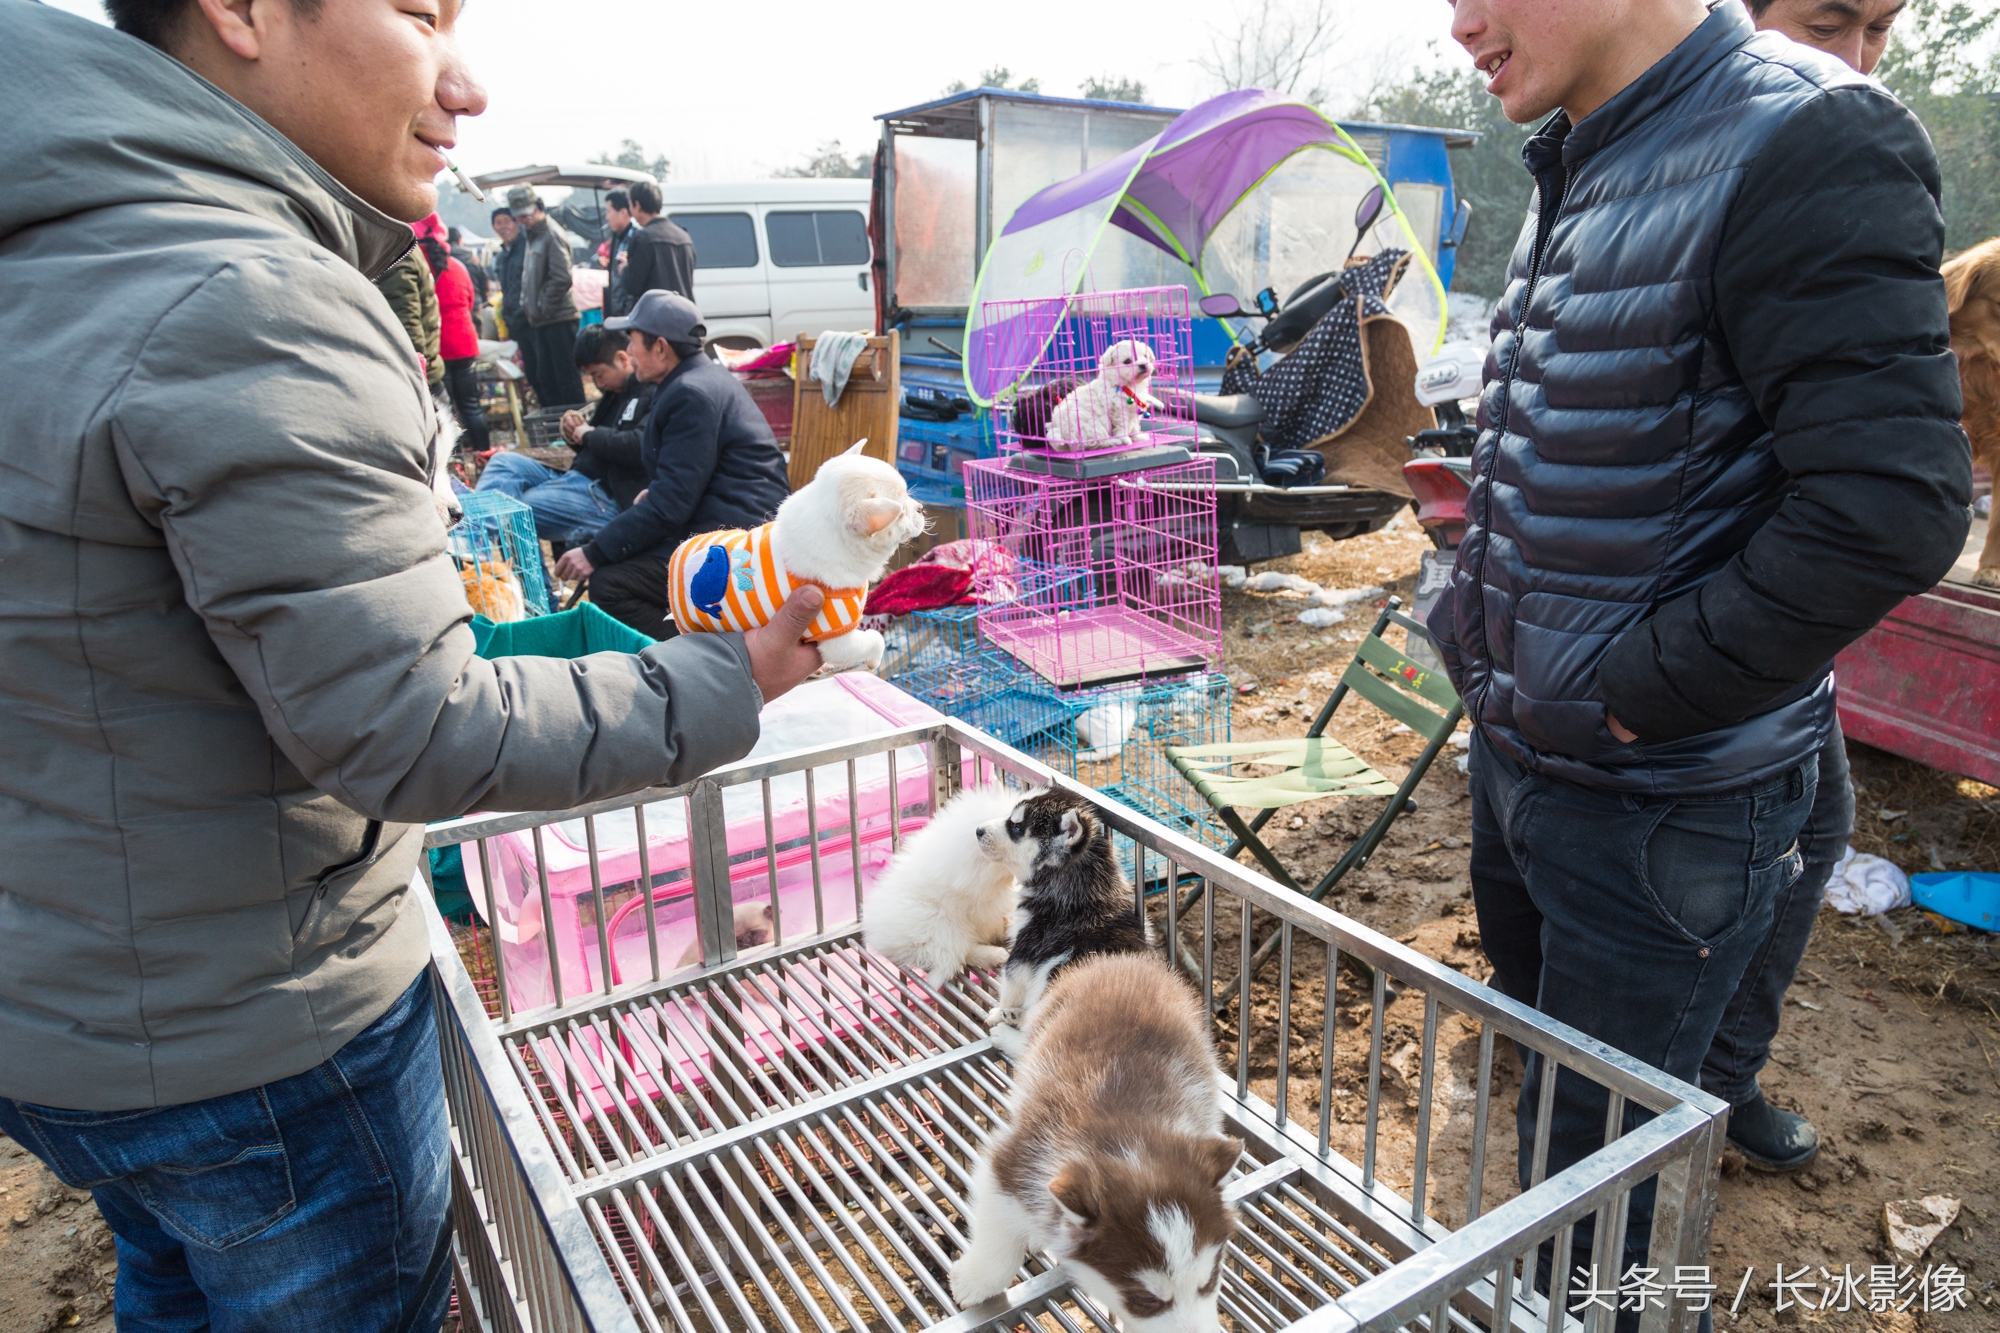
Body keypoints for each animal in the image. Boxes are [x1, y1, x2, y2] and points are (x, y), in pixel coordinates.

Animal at [948, 948, 1240, 1320]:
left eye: (1210, 1279)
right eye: (1146, 1299)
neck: (1133, 1143)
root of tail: (1122, 959)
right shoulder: (1017, 1159)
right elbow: (996, 1228)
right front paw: (976, 1281)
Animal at [972, 784, 1152, 1056]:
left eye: (1017, 828)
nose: (978, 830)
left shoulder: (1028, 942)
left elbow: (1011, 983)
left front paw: (998, 1011)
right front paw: (1008, 1012)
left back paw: (1006, 1033)